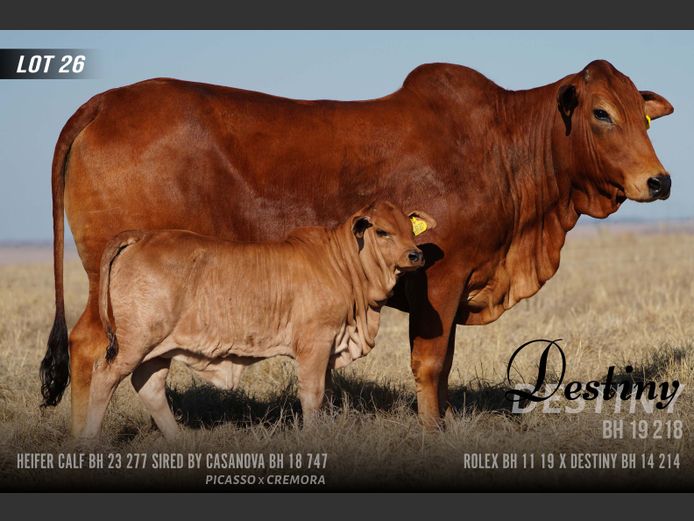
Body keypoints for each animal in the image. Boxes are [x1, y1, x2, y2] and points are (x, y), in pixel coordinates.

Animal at [78, 201, 434, 441]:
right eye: (383, 231)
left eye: (409, 229)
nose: (416, 255)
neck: (343, 264)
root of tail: (141, 237)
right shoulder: (315, 344)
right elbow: (313, 395)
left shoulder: (329, 348)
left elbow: (327, 394)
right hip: (134, 342)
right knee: (104, 376)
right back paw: (89, 441)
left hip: (157, 348)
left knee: (149, 386)